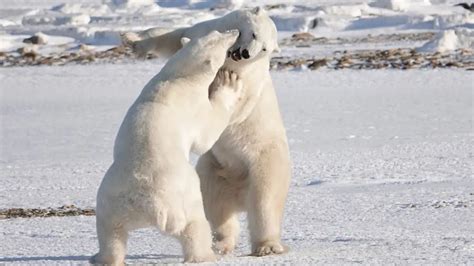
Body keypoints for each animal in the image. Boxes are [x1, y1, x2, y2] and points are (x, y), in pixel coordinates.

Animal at [90, 30, 243, 264]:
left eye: (215, 32)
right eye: (220, 38)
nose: (235, 31)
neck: (178, 76)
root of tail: (151, 206)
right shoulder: (193, 107)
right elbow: (207, 135)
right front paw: (228, 82)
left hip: (112, 201)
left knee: (111, 233)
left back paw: (102, 258)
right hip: (183, 196)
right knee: (194, 225)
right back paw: (205, 255)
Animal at [122, 6, 290, 258]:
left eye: (264, 49)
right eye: (253, 34)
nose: (245, 54)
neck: (231, 60)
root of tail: (240, 192)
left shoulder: (250, 80)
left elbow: (236, 106)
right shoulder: (205, 31)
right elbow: (174, 38)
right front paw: (130, 39)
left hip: (266, 163)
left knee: (265, 202)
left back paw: (267, 246)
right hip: (215, 170)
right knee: (215, 203)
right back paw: (221, 243)